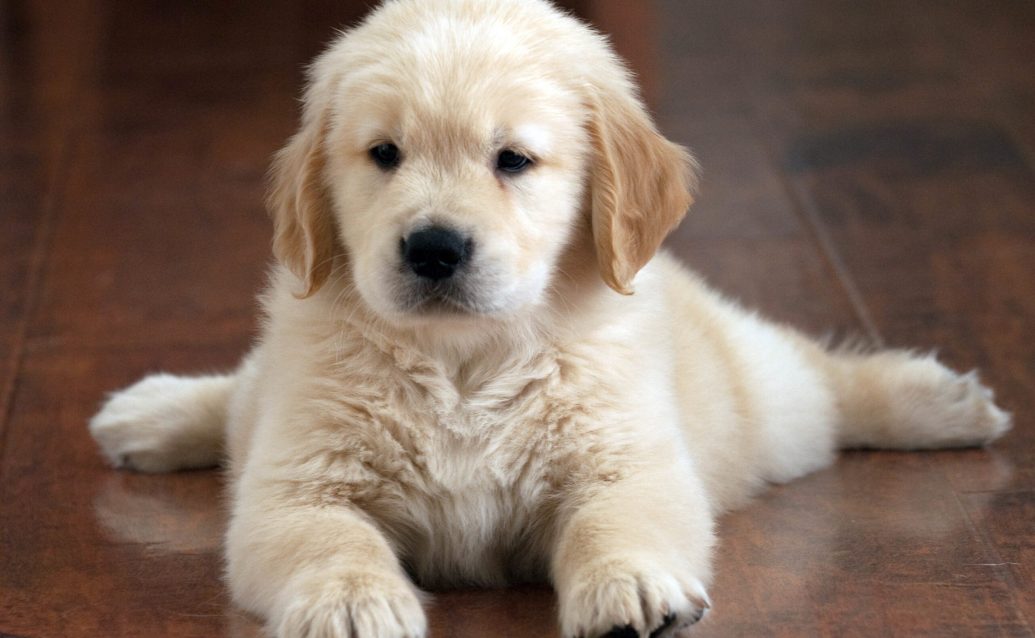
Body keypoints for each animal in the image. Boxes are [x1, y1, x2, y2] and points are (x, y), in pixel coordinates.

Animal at [89, 0, 1010, 633]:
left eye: (513, 160)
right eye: (383, 154)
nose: (432, 248)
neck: (464, 360)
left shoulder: (627, 460)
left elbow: (615, 520)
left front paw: (629, 586)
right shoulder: (295, 482)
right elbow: (330, 541)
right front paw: (351, 603)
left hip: (765, 408)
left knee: (818, 376)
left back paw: (940, 403)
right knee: (239, 393)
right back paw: (150, 413)